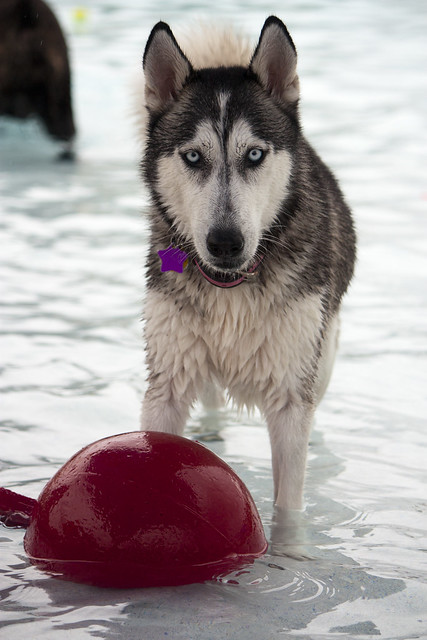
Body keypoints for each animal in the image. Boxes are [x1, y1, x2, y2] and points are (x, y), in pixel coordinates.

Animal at [139, 15, 356, 556]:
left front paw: (287, 557)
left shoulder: (290, 397)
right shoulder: (167, 383)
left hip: (321, 351)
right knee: (212, 397)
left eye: (254, 154)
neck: (231, 288)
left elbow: (288, 504)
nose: (224, 242)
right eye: (194, 157)